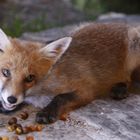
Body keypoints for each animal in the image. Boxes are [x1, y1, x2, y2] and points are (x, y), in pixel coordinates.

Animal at [0, 23, 139, 124]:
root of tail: (124, 24)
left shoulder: (86, 90)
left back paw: (120, 89)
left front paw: (47, 112)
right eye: (5, 72)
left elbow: (60, 97)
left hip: (132, 50)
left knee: (128, 79)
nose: (11, 99)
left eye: (30, 78)